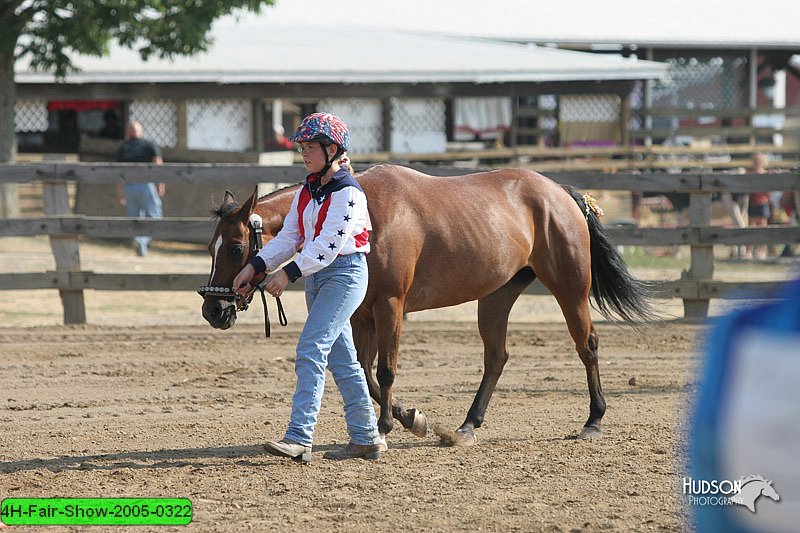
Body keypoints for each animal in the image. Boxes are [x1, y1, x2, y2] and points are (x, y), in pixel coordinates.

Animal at [200, 165, 656, 444]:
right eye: (210, 246)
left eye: (237, 246)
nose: (213, 311)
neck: (365, 213)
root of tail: (561, 193)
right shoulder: (362, 313)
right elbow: (365, 371)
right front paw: (410, 418)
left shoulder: (390, 306)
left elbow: (385, 370)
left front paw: (386, 426)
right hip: (495, 297)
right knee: (496, 357)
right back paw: (467, 426)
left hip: (570, 289)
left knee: (587, 346)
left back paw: (593, 421)